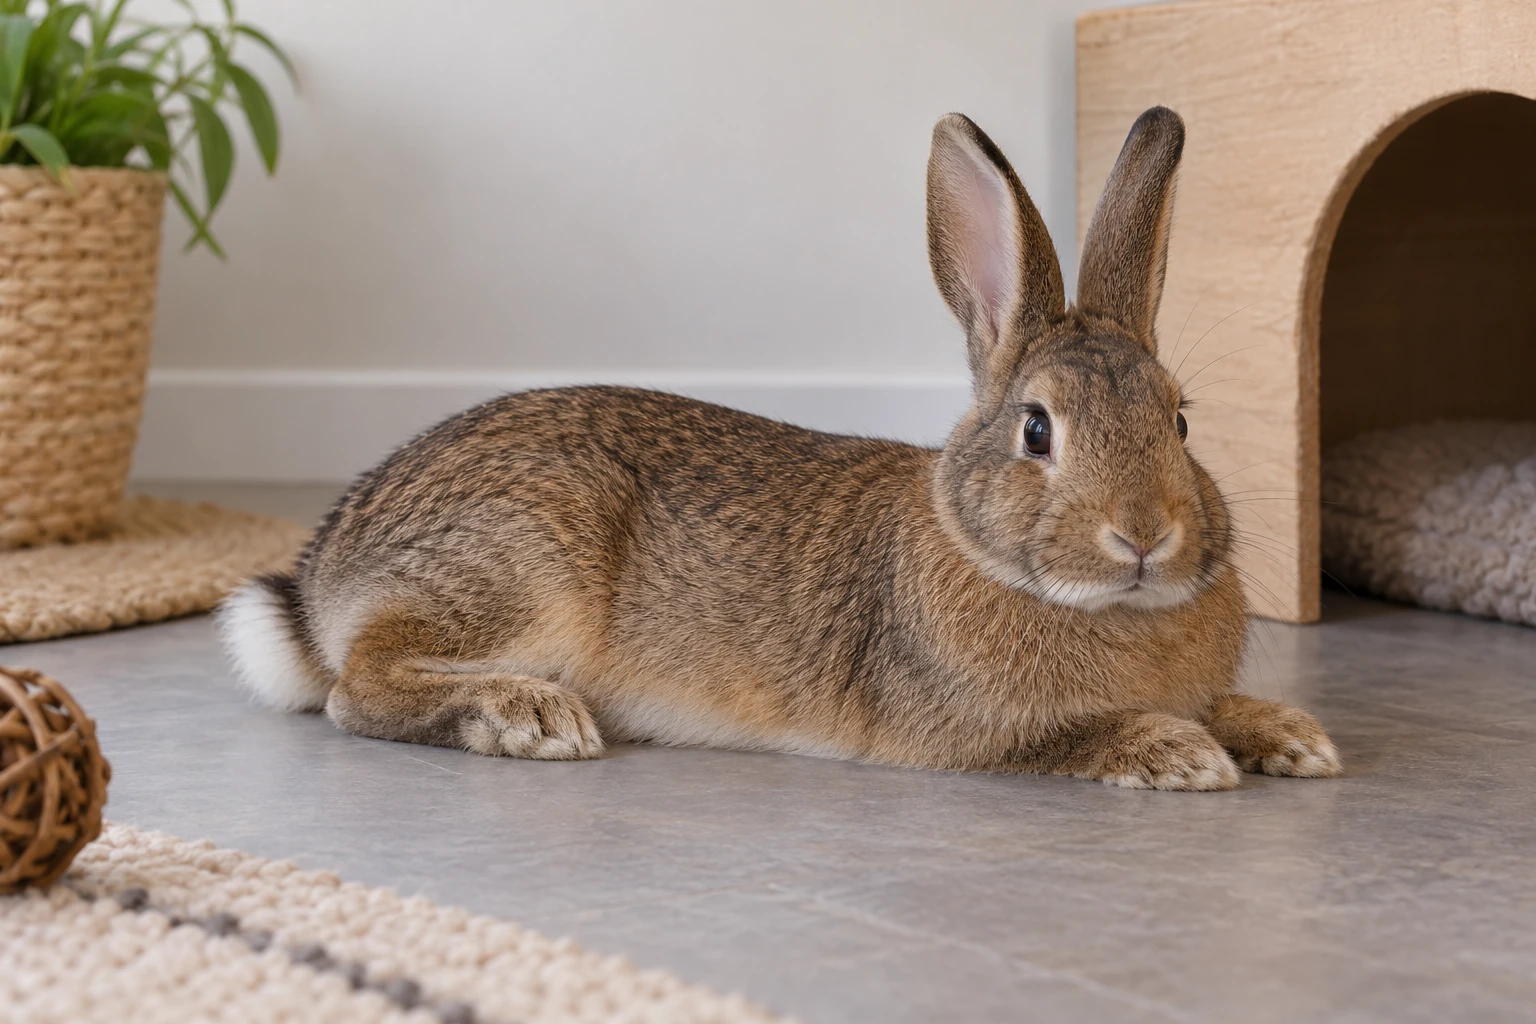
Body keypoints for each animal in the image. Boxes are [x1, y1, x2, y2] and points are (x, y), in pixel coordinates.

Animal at [219, 106, 1340, 790]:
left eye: (1180, 418)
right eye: (1036, 429)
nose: (1144, 536)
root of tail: (322, 578)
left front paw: (1290, 735)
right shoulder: (967, 728)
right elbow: (1075, 735)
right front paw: (1179, 751)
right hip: (524, 566)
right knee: (358, 686)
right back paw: (526, 715)